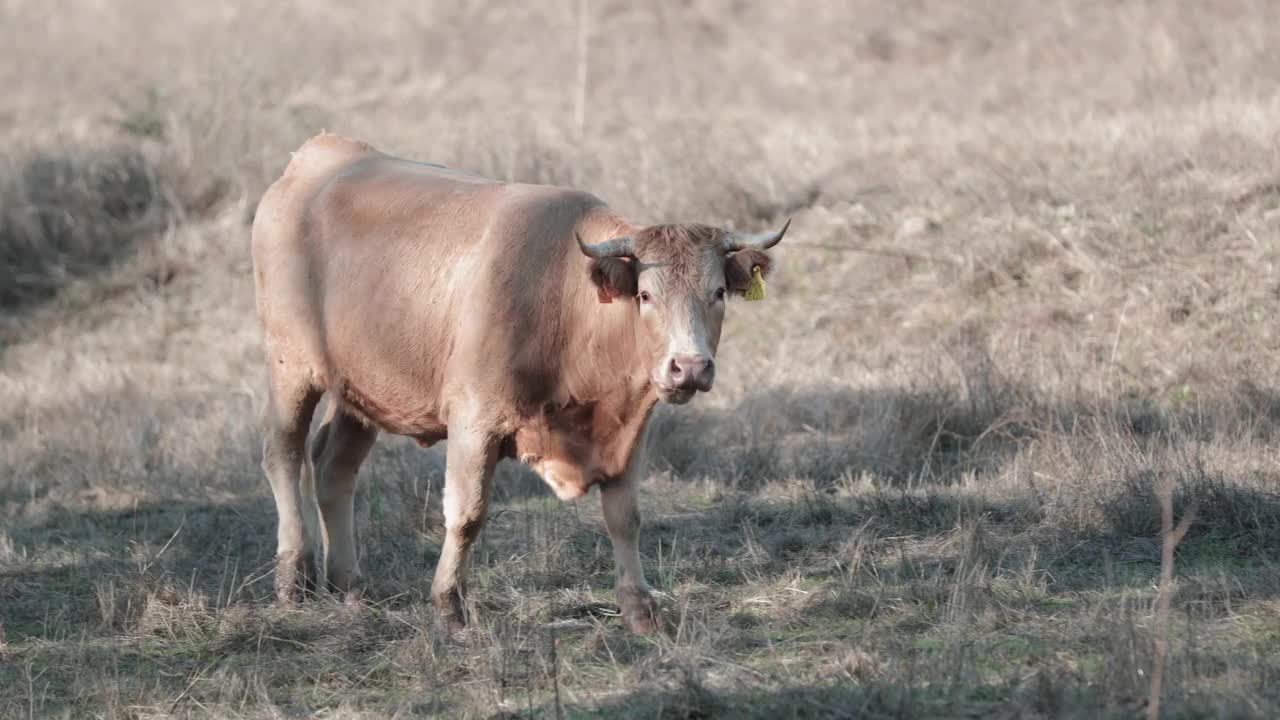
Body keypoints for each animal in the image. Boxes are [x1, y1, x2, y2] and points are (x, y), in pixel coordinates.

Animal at [250, 131, 783, 630]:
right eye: (646, 295)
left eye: (718, 292)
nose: (688, 367)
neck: (565, 297)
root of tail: (319, 156)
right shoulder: (473, 420)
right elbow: (466, 513)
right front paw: (449, 607)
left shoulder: (629, 426)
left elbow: (625, 516)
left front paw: (639, 609)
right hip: (290, 367)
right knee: (284, 454)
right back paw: (293, 577)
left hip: (362, 391)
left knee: (333, 466)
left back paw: (350, 585)